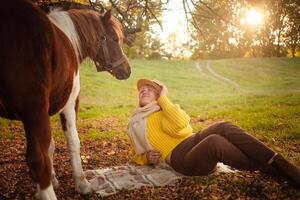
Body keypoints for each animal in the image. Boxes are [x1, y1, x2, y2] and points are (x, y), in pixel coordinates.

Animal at [0, 0, 131, 198]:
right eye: (114, 38)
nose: (127, 70)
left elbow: (50, 146)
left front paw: (53, 179)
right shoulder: (69, 105)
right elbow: (73, 142)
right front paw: (82, 184)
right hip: (34, 110)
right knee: (37, 160)